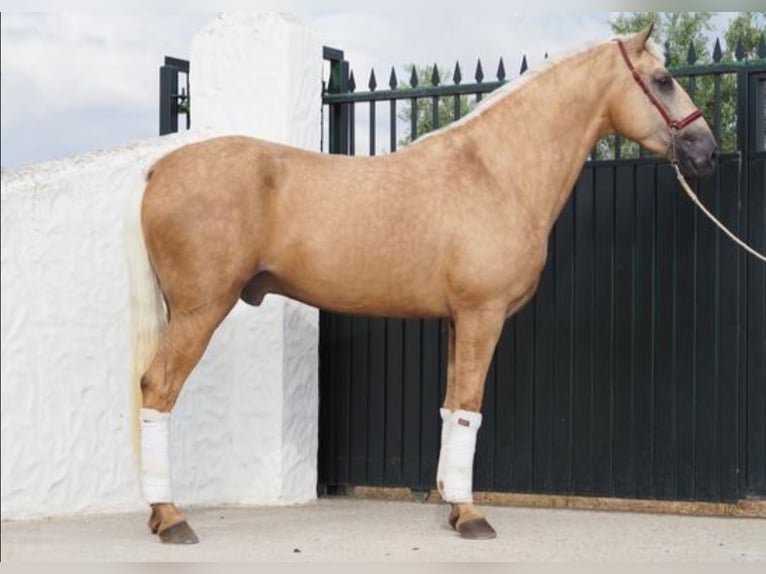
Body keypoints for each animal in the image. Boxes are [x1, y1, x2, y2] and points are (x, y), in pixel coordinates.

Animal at [126, 23, 720, 544]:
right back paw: (171, 519)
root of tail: (157, 170)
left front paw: (453, 508)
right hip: (201, 309)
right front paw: (473, 517)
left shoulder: (457, 321)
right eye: (662, 79)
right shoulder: (482, 315)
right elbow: (470, 410)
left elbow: (451, 408)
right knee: (158, 389)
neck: (496, 172)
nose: (706, 150)